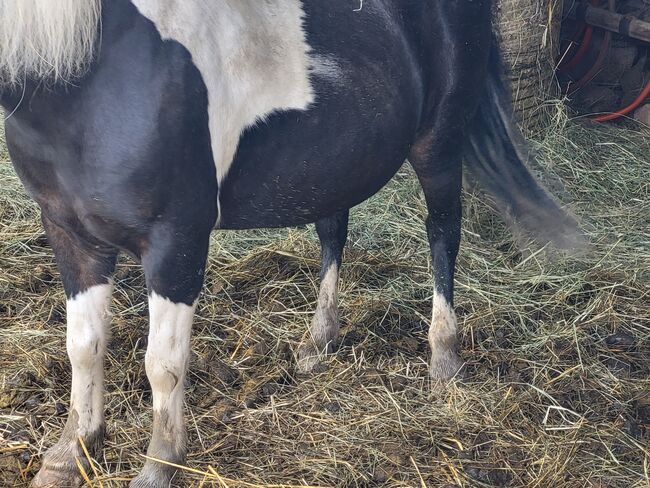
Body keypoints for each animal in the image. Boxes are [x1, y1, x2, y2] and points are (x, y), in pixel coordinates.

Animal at [0, 1, 576, 486]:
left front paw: (160, 466)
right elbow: (84, 347)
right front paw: (71, 453)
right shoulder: (69, 235)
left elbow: (162, 364)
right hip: (334, 164)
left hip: (438, 146)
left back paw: (444, 358)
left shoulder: (175, 244)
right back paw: (318, 341)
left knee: (443, 236)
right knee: (334, 232)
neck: (94, 75)